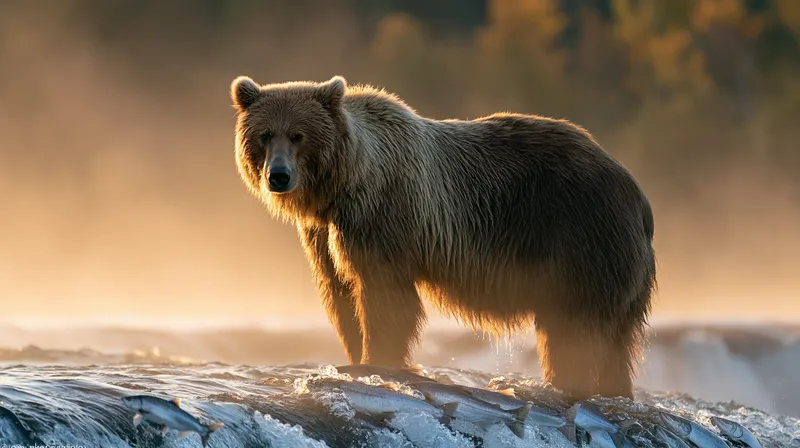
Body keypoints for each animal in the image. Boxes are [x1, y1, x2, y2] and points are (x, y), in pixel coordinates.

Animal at [229, 75, 656, 401]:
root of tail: (636, 192)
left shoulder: (382, 216)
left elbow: (385, 297)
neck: (341, 185)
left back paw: (570, 383)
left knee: (574, 328)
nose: (278, 176)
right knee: (615, 339)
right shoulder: (322, 235)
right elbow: (340, 294)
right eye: (264, 135)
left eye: (298, 135)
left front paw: (377, 361)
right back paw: (613, 390)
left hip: (580, 237)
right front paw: (353, 355)